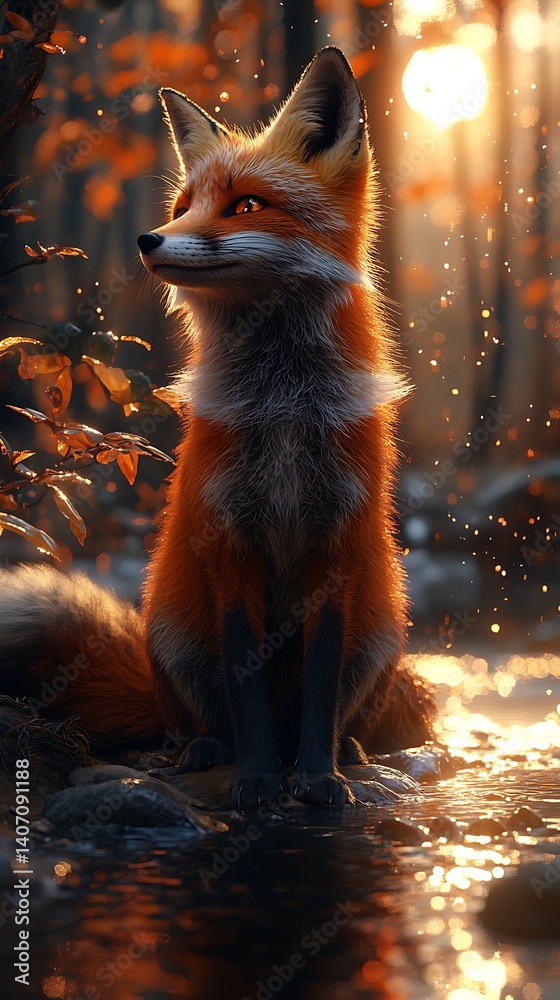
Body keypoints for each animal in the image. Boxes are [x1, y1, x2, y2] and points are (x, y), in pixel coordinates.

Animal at [0, 47, 434, 807]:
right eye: (183, 208)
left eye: (246, 206)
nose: (149, 239)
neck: (284, 409)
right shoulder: (228, 543)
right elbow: (246, 684)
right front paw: (259, 780)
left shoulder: (336, 547)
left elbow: (320, 686)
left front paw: (317, 779)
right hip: (174, 629)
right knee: (197, 719)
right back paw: (200, 749)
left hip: (383, 630)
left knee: (333, 709)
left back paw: (346, 752)